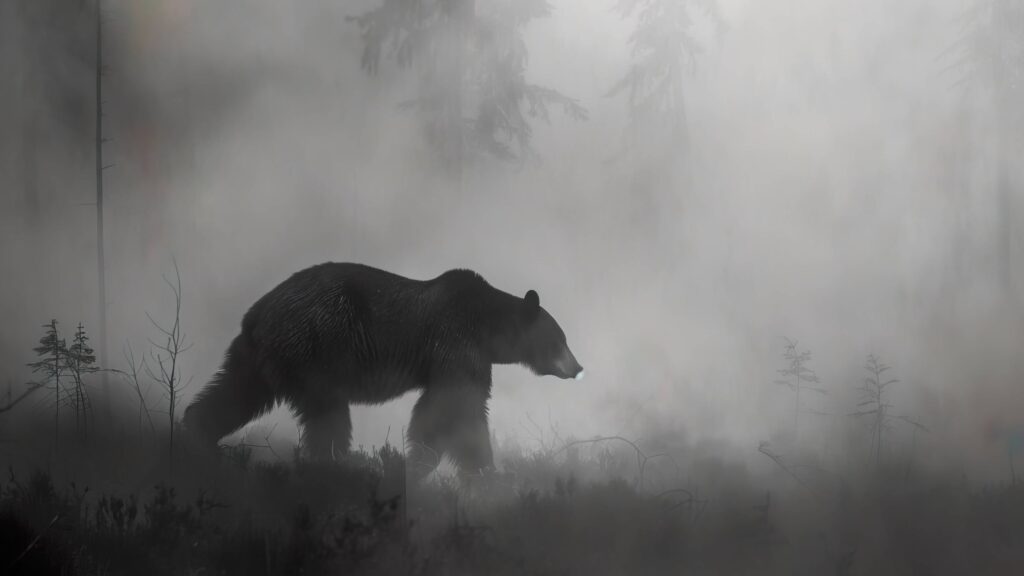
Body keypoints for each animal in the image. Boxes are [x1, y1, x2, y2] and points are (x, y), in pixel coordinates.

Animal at [181, 262, 583, 478]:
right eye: (560, 339)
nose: (578, 367)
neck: (488, 326)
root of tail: (256, 314)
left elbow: (445, 410)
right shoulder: (456, 342)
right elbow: (455, 408)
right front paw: (474, 470)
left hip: (261, 358)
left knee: (234, 393)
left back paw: (197, 436)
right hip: (316, 347)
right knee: (327, 417)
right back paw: (335, 465)